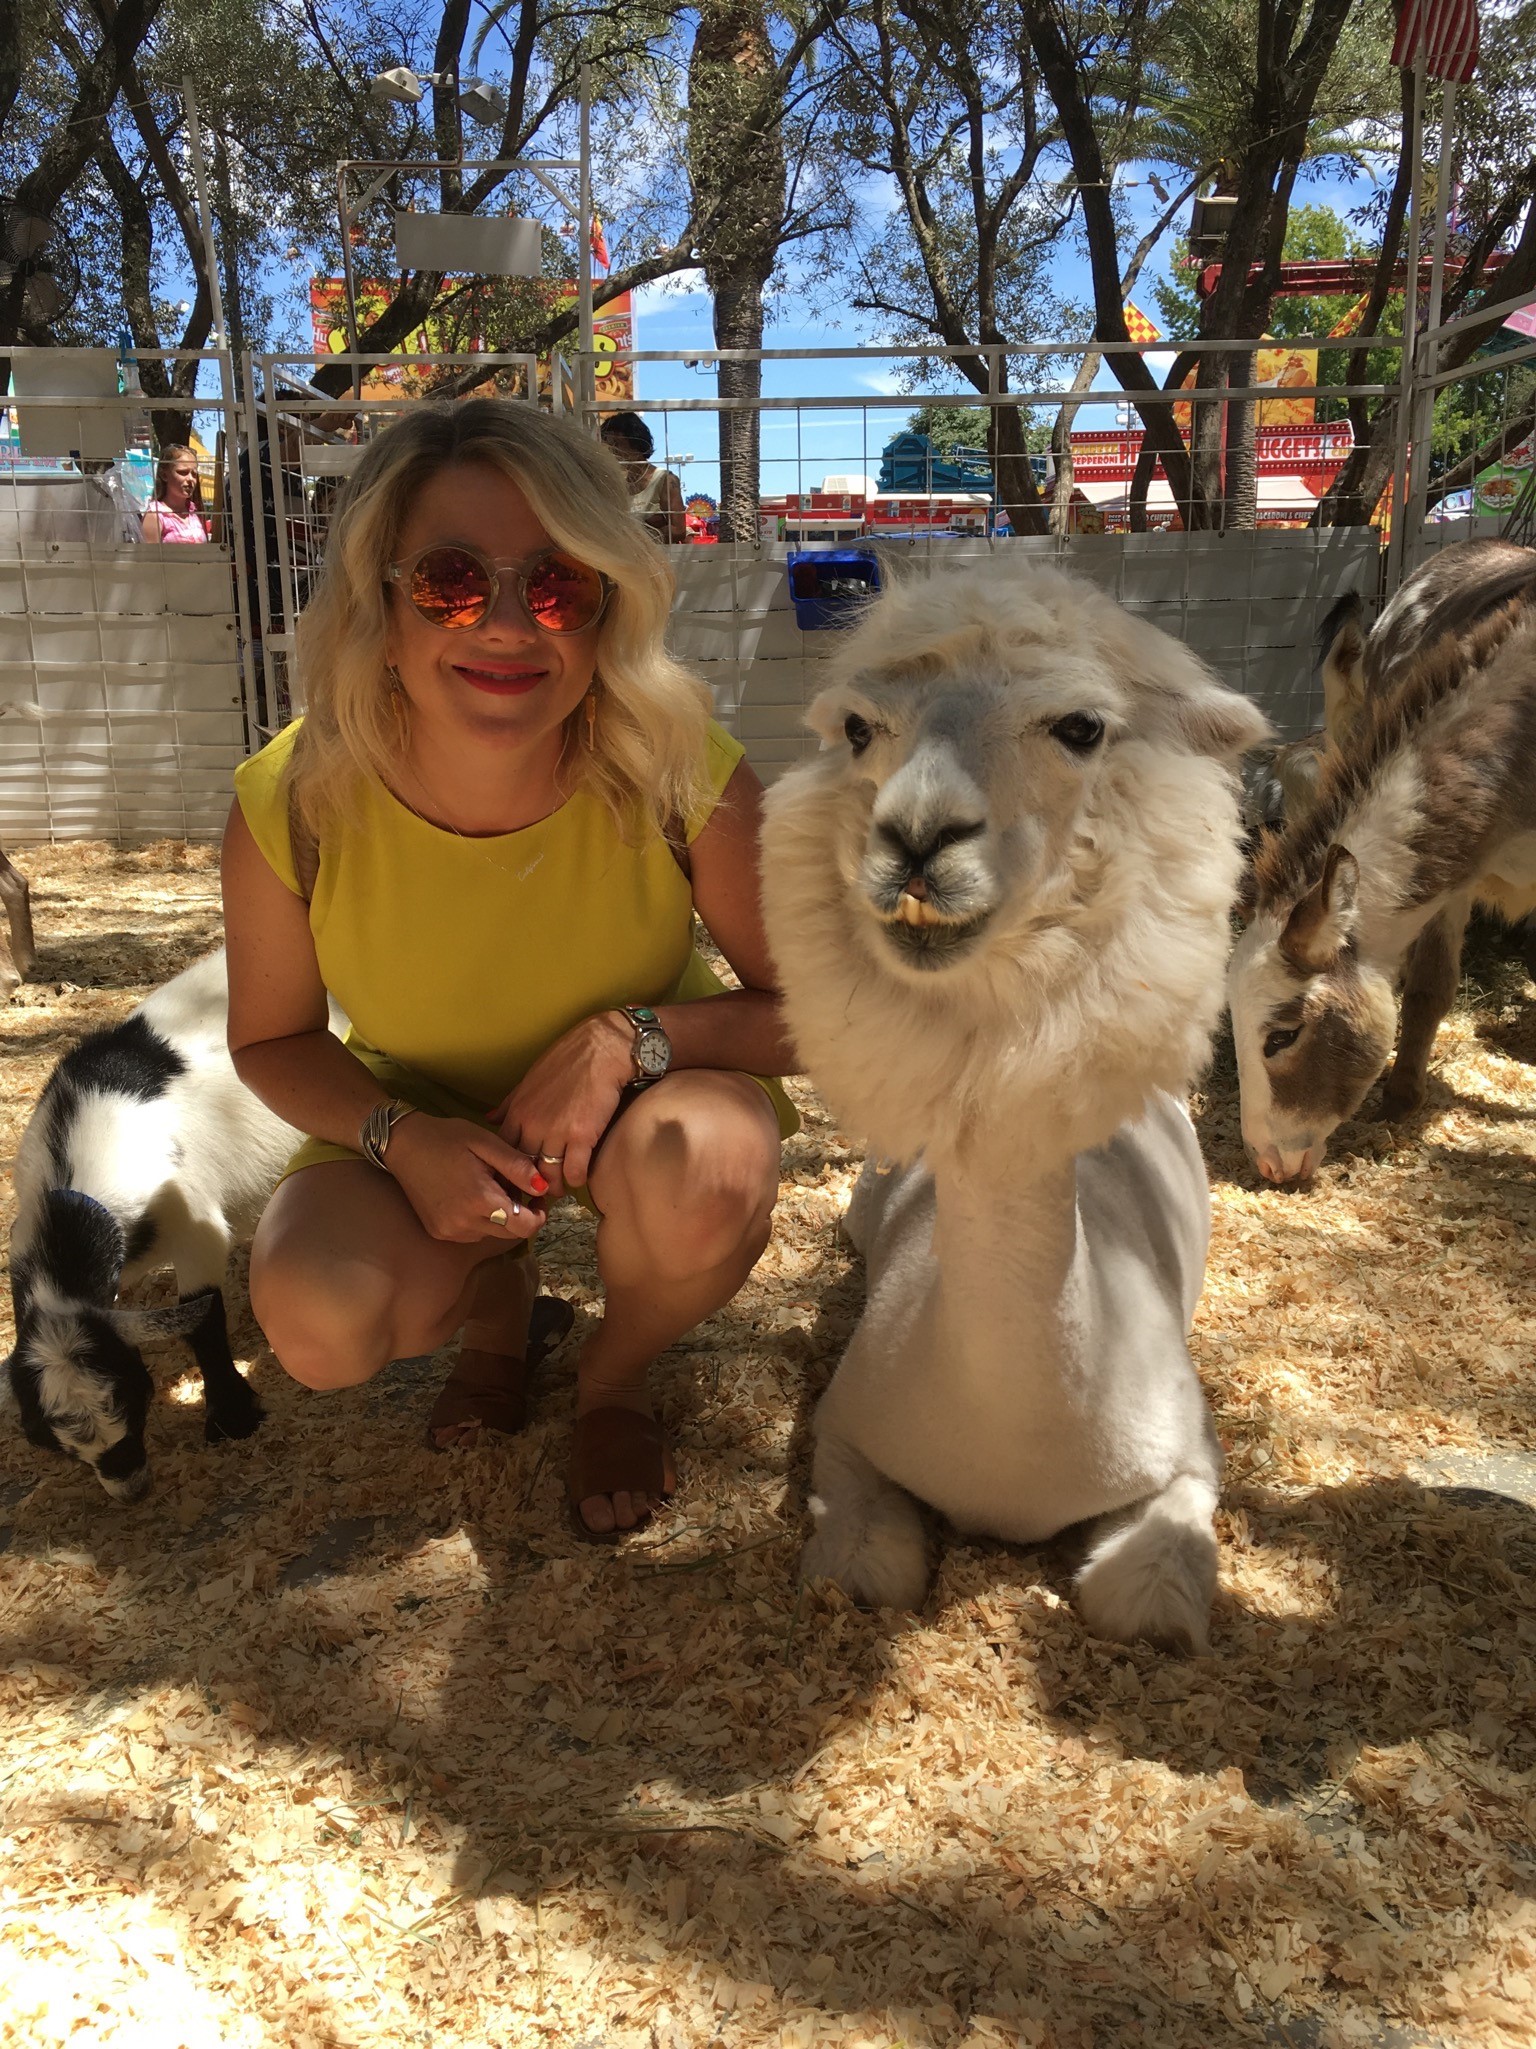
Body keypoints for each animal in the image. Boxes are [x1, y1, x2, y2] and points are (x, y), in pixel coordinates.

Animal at [6, 950, 305, 1499]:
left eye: (135, 1397)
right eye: (50, 1438)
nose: (131, 1487)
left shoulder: (195, 1226)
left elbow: (203, 1319)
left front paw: (232, 1416)